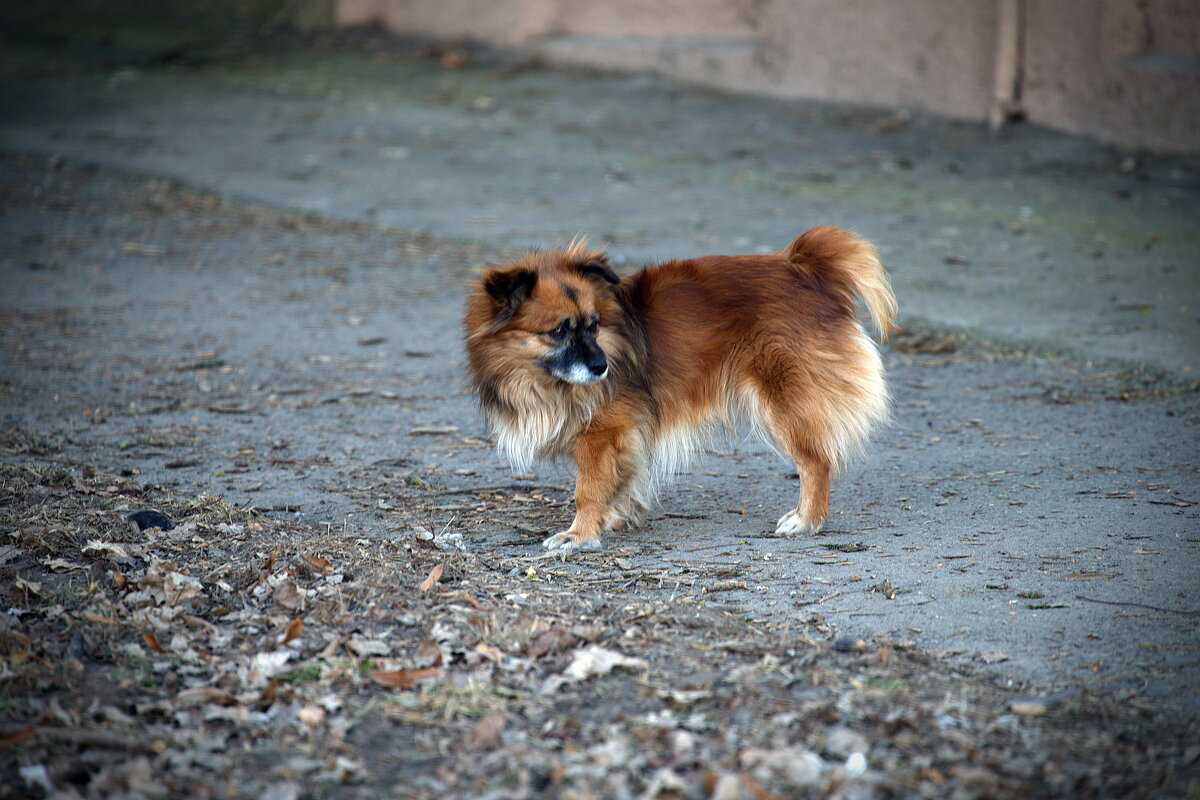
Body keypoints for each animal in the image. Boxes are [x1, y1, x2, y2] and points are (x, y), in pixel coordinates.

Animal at [463, 225, 897, 551]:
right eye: (557, 332)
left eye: (593, 325)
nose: (602, 368)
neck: (537, 378)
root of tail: (806, 269)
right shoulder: (628, 433)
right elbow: (622, 479)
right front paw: (614, 518)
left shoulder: (602, 433)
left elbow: (587, 489)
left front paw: (580, 534)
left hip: (785, 401)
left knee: (816, 461)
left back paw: (807, 519)